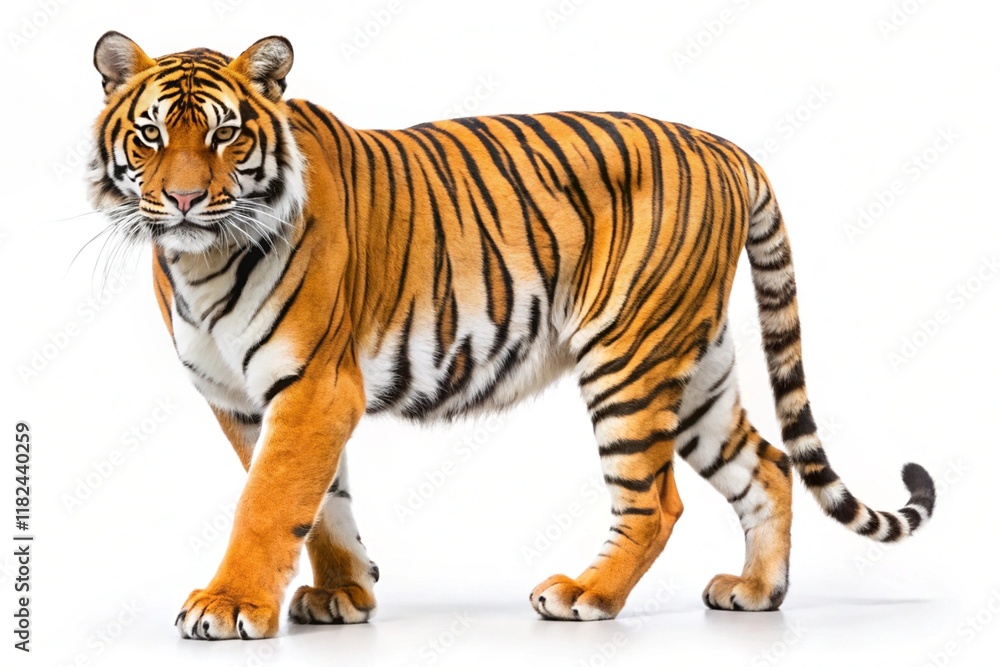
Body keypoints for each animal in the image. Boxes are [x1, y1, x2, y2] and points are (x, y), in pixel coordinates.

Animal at [87, 31, 936, 640]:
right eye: (151, 136)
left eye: (227, 136)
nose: (185, 199)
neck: (199, 262)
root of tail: (728, 148)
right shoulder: (243, 397)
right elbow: (320, 501)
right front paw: (344, 592)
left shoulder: (312, 387)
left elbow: (267, 502)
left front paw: (229, 604)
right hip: (696, 366)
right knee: (766, 464)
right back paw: (757, 590)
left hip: (627, 355)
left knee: (656, 501)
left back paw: (586, 593)